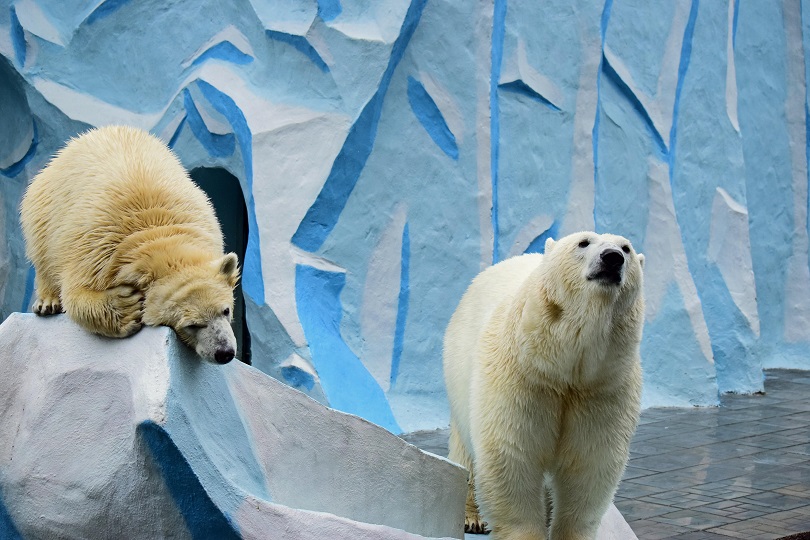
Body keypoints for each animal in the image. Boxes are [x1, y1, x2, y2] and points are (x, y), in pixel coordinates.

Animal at [19, 124, 240, 364]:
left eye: (225, 310)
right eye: (192, 325)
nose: (224, 353)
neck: (157, 233)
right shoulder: (97, 249)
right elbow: (76, 293)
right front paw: (127, 307)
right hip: (45, 209)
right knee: (43, 254)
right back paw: (47, 303)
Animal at [442, 232, 644, 540]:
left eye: (627, 248)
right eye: (583, 242)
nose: (612, 258)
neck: (564, 366)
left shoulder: (602, 388)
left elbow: (588, 465)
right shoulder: (522, 378)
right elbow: (512, 457)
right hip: (460, 367)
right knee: (466, 450)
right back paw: (471, 516)